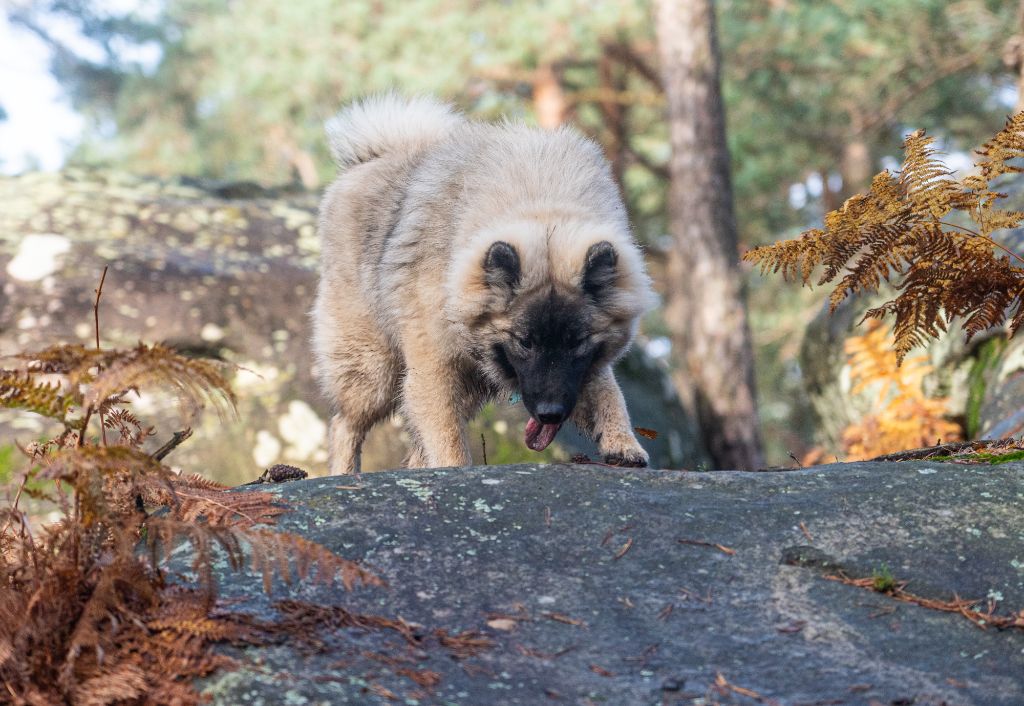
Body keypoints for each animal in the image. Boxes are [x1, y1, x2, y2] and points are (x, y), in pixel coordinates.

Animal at [311, 90, 659, 471]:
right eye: (525, 342)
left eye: (576, 341)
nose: (550, 414)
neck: (541, 207)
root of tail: (370, 156)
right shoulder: (434, 366)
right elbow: (446, 437)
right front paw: (454, 468)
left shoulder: (582, 365)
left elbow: (608, 391)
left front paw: (622, 441)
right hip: (374, 370)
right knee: (345, 424)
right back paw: (345, 471)